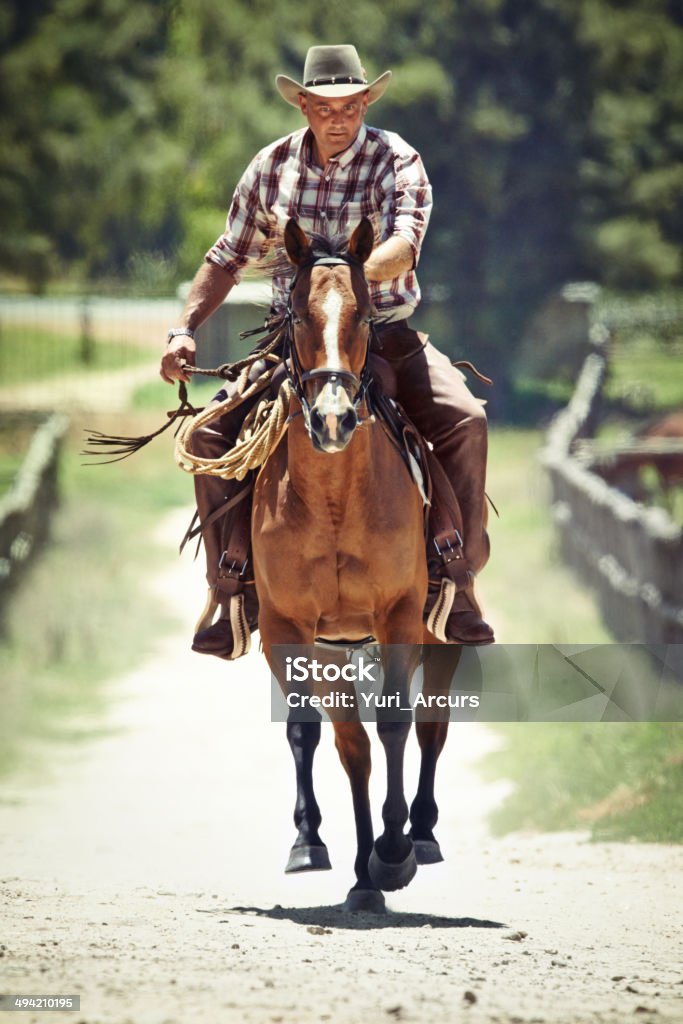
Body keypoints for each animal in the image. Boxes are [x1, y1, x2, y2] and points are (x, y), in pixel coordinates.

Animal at [250, 218, 454, 913]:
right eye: (294, 314)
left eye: (364, 314)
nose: (334, 419)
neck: (337, 500)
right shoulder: (289, 630)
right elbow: (317, 734)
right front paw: (319, 846)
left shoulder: (398, 616)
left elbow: (396, 723)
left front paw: (394, 851)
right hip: (335, 648)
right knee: (352, 746)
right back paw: (364, 877)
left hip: (443, 636)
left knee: (430, 726)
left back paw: (419, 836)